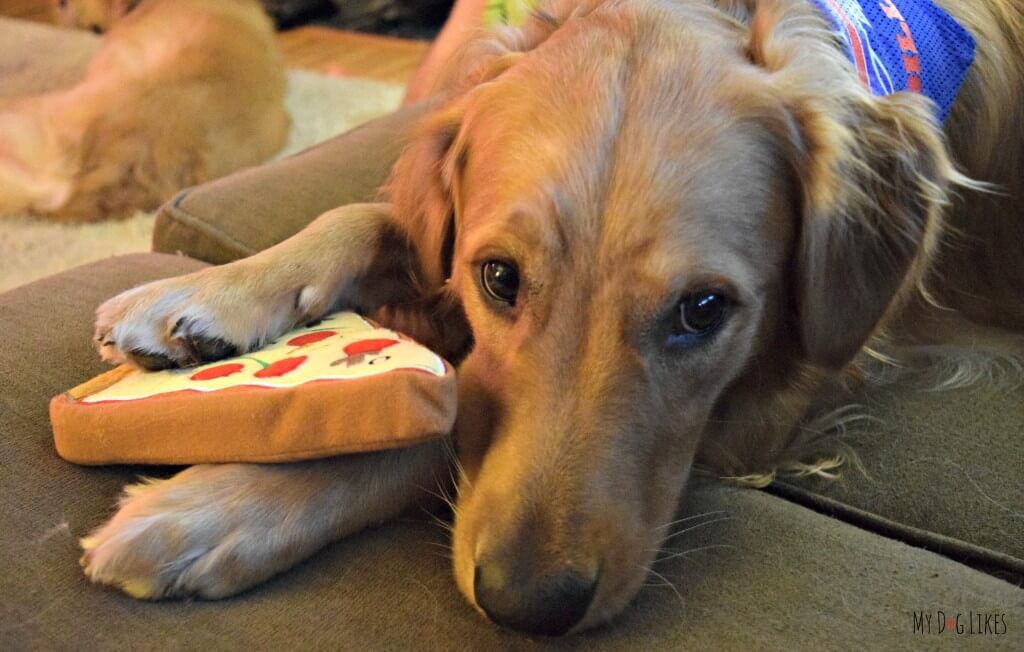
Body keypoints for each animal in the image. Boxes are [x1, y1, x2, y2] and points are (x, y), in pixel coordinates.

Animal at [75, 0, 1019, 634]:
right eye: (498, 277)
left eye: (703, 310)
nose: (527, 606)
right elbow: (372, 218)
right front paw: (202, 299)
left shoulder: (783, 392)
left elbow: (438, 432)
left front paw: (212, 510)